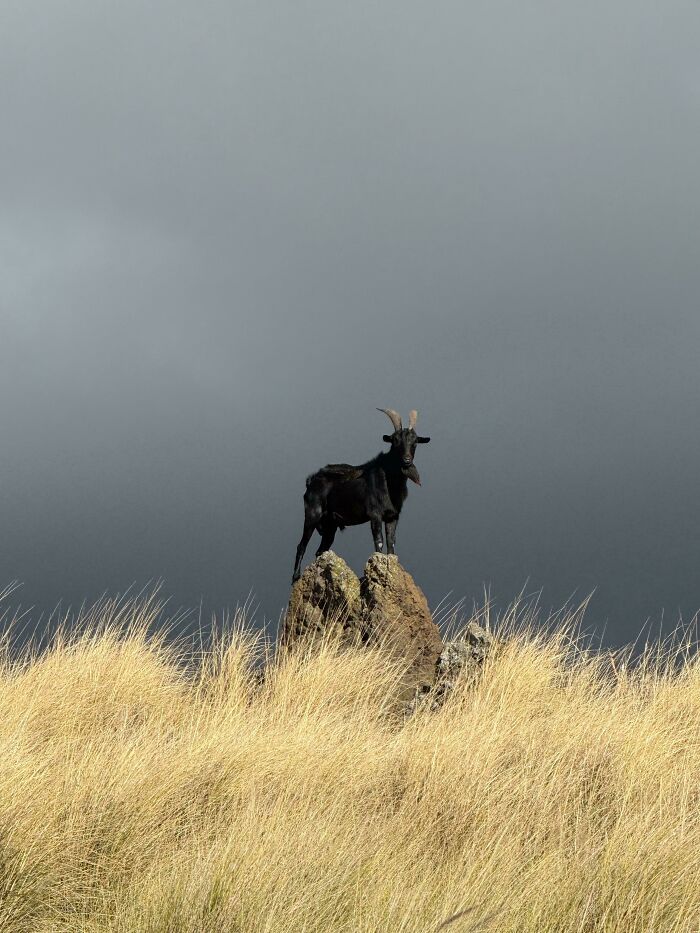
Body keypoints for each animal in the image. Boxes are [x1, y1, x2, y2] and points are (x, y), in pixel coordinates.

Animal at [292, 408, 431, 583]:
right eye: (395, 441)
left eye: (415, 442)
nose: (407, 460)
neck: (388, 481)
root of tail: (311, 480)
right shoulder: (375, 514)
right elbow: (379, 542)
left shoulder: (393, 516)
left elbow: (391, 544)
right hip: (312, 514)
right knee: (301, 545)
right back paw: (295, 577)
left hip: (330, 525)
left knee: (320, 550)